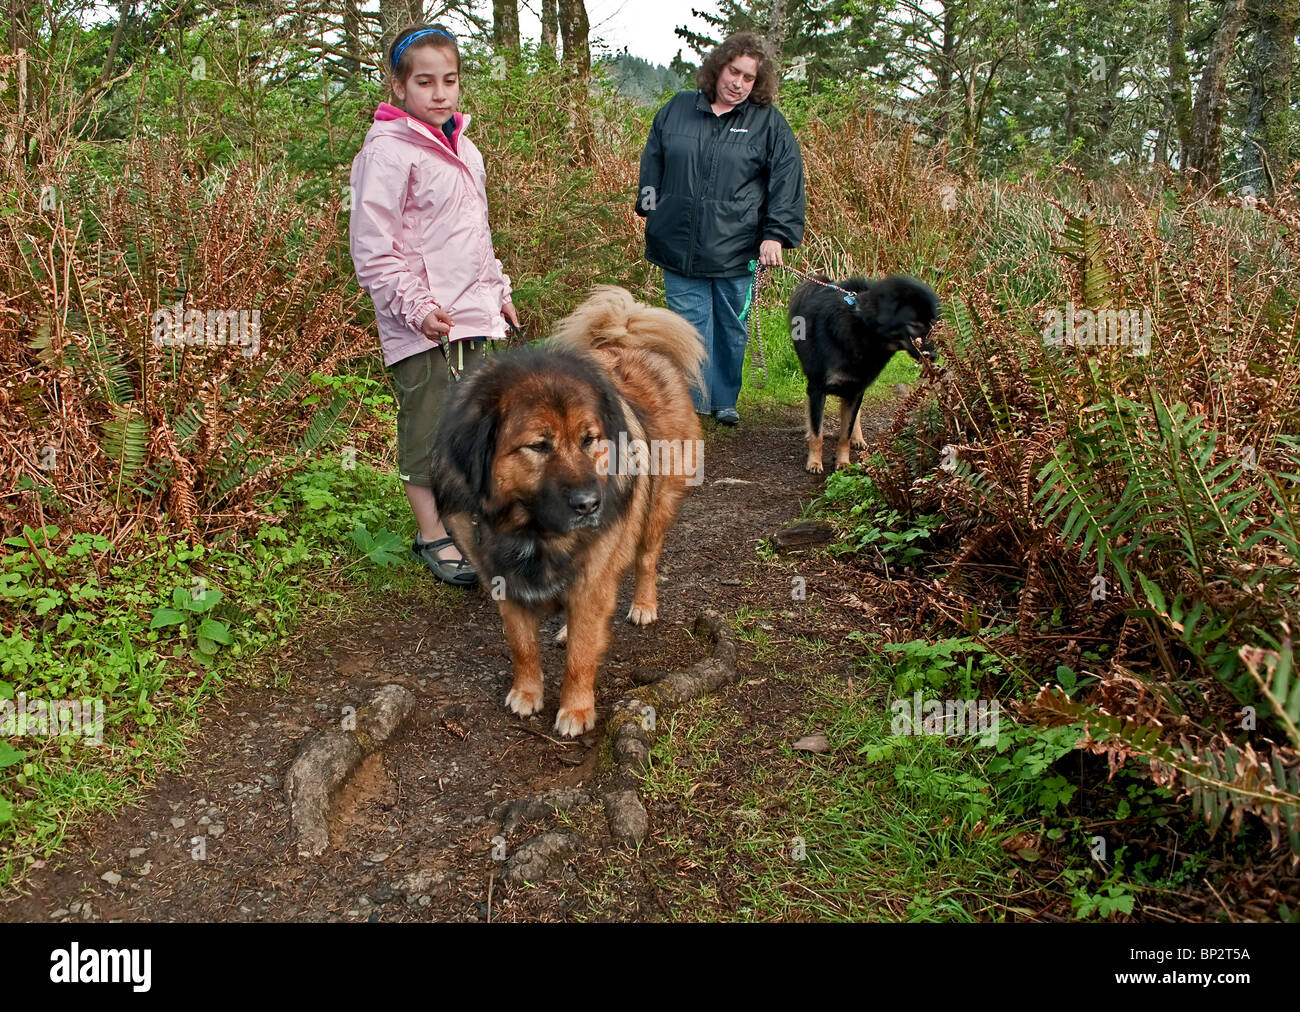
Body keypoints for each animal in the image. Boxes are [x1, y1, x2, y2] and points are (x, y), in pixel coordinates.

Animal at [431, 283, 707, 733]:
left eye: (588, 440)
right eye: (539, 445)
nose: (590, 504)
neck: (533, 532)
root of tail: (627, 341)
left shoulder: (593, 576)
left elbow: (581, 655)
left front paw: (576, 710)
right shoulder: (504, 583)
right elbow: (522, 645)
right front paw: (527, 693)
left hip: (657, 507)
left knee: (647, 559)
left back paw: (643, 606)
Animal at [785, 275, 941, 473]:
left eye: (932, 324)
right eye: (914, 325)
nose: (934, 355)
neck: (863, 332)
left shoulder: (856, 389)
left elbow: (846, 432)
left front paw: (844, 462)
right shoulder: (818, 388)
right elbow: (817, 432)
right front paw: (814, 463)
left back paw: (857, 439)